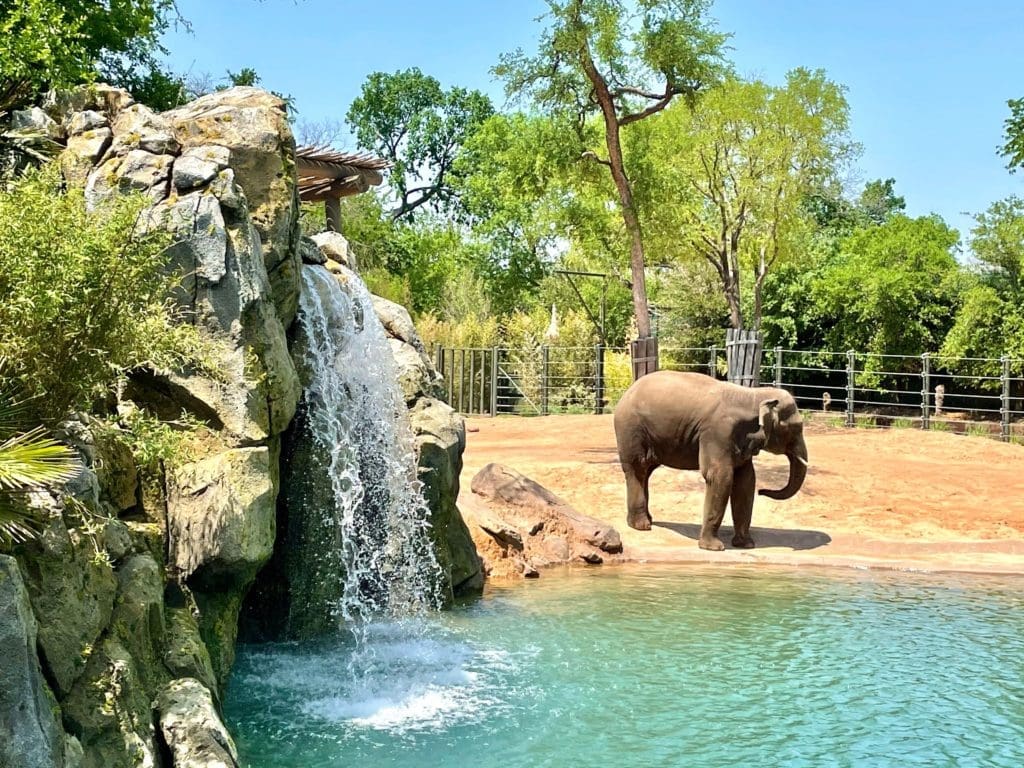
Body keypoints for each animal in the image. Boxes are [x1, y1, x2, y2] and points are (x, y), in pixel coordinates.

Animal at [613, 371, 808, 551]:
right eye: (794, 428)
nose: (762, 492)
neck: (754, 395)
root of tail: (627, 391)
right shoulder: (717, 433)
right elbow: (720, 477)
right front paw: (714, 548)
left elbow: (746, 481)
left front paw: (746, 545)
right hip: (630, 429)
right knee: (638, 468)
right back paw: (642, 526)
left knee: (647, 470)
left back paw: (647, 520)